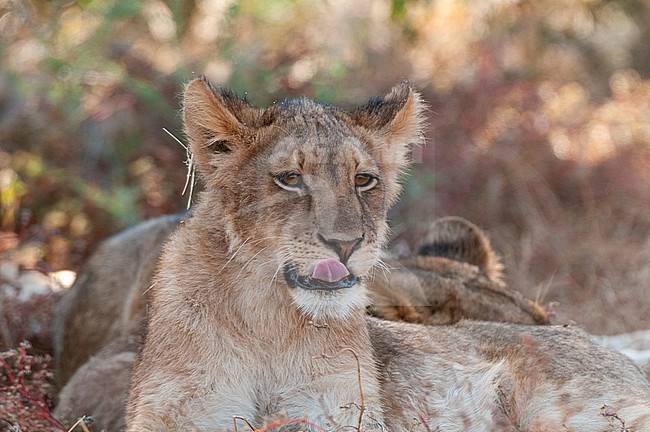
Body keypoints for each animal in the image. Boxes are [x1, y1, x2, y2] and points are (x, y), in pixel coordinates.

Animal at [55, 78, 648, 432]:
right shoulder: (183, 412)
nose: (347, 243)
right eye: (290, 179)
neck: (270, 322)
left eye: (364, 180)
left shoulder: (335, 411)